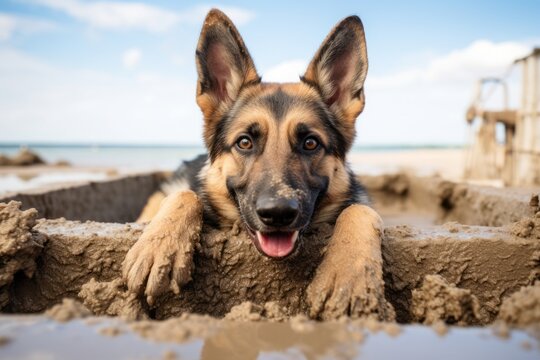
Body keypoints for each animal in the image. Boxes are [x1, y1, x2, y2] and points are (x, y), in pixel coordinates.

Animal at [122, 8, 388, 318]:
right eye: (245, 142)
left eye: (310, 143)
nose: (278, 214)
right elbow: (186, 194)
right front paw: (158, 249)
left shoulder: (361, 207)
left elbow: (360, 210)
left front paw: (346, 276)